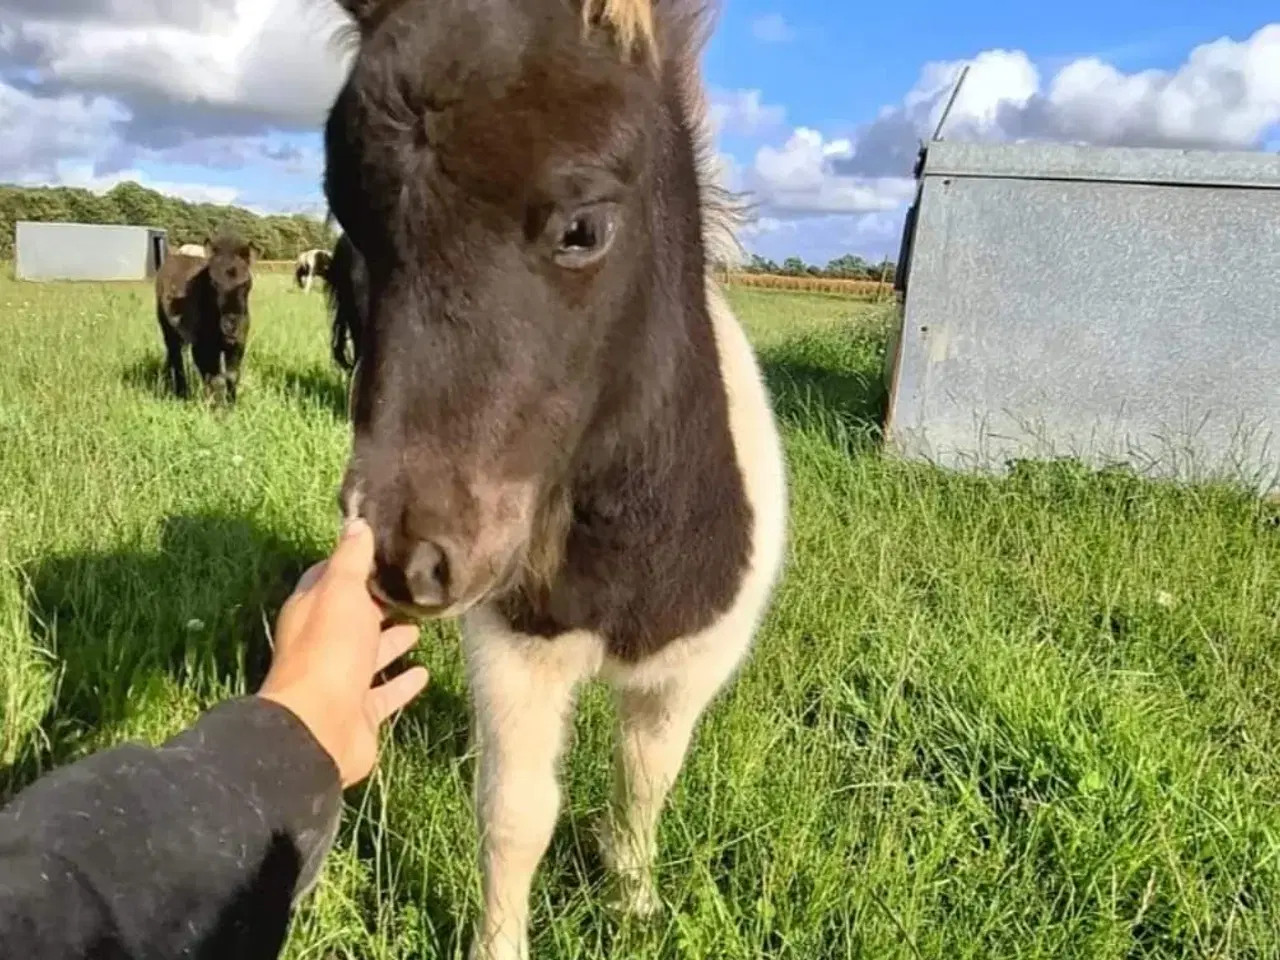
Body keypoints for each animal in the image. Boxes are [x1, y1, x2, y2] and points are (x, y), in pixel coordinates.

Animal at [153, 235, 256, 404]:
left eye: (246, 282)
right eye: (213, 283)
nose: (231, 326)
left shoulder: (238, 344)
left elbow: (232, 376)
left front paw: (232, 404)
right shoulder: (202, 347)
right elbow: (215, 379)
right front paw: (216, 408)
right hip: (168, 330)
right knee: (176, 358)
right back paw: (182, 392)